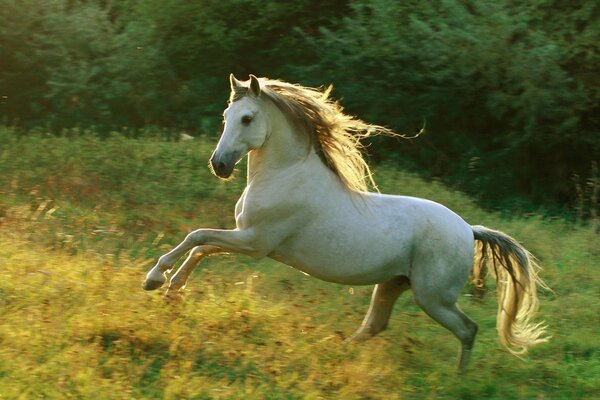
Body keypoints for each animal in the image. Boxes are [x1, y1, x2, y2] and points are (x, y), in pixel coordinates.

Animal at [143, 74, 548, 368]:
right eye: (226, 117)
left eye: (247, 118)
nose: (219, 165)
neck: (285, 175)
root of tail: (469, 229)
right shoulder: (247, 237)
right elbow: (201, 246)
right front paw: (171, 290)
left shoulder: (255, 242)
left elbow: (197, 237)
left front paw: (155, 279)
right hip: (394, 283)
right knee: (375, 325)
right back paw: (330, 349)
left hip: (434, 297)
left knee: (468, 329)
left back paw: (456, 378)